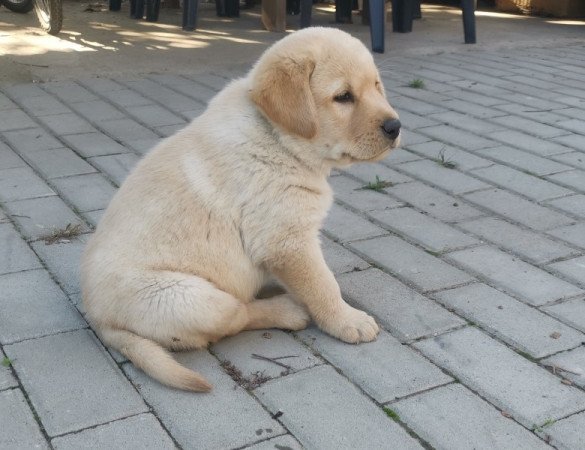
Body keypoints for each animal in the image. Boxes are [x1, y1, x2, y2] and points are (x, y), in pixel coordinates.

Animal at [82, 27, 400, 390]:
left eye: (376, 86)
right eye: (343, 97)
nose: (395, 127)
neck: (278, 139)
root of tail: (101, 323)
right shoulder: (287, 240)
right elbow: (322, 284)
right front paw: (347, 320)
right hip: (191, 298)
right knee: (236, 316)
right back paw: (285, 310)